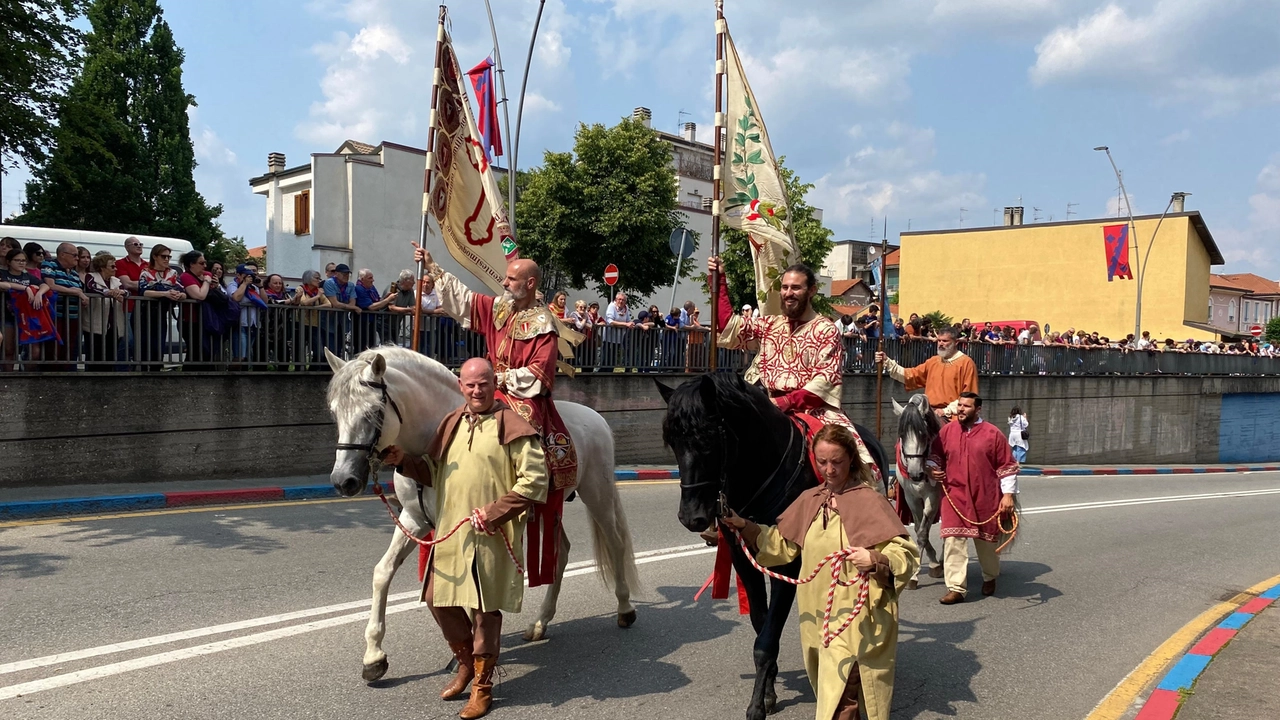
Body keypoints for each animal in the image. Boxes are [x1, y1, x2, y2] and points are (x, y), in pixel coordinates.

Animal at [325, 345, 634, 681]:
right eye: (335, 412)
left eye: (374, 412)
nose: (343, 480)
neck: (431, 441)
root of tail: (596, 418)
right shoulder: (413, 520)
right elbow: (383, 572)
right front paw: (374, 656)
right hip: (548, 508)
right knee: (561, 552)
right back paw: (540, 622)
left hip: (597, 493)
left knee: (615, 542)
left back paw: (625, 609)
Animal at [655, 371, 885, 712]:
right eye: (672, 440)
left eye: (707, 437)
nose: (691, 516)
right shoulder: (743, 558)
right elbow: (760, 623)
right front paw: (768, 689)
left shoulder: (788, 565)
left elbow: (766, 639)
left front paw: (756, 706)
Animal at [896, 392, 947, 584]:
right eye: (902, 434)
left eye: (923, 434)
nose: (915, 473)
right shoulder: (911, 497)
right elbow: (918, 529)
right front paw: (930, 563)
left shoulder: (932, 497)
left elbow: (923, 533)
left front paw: (915, 574)